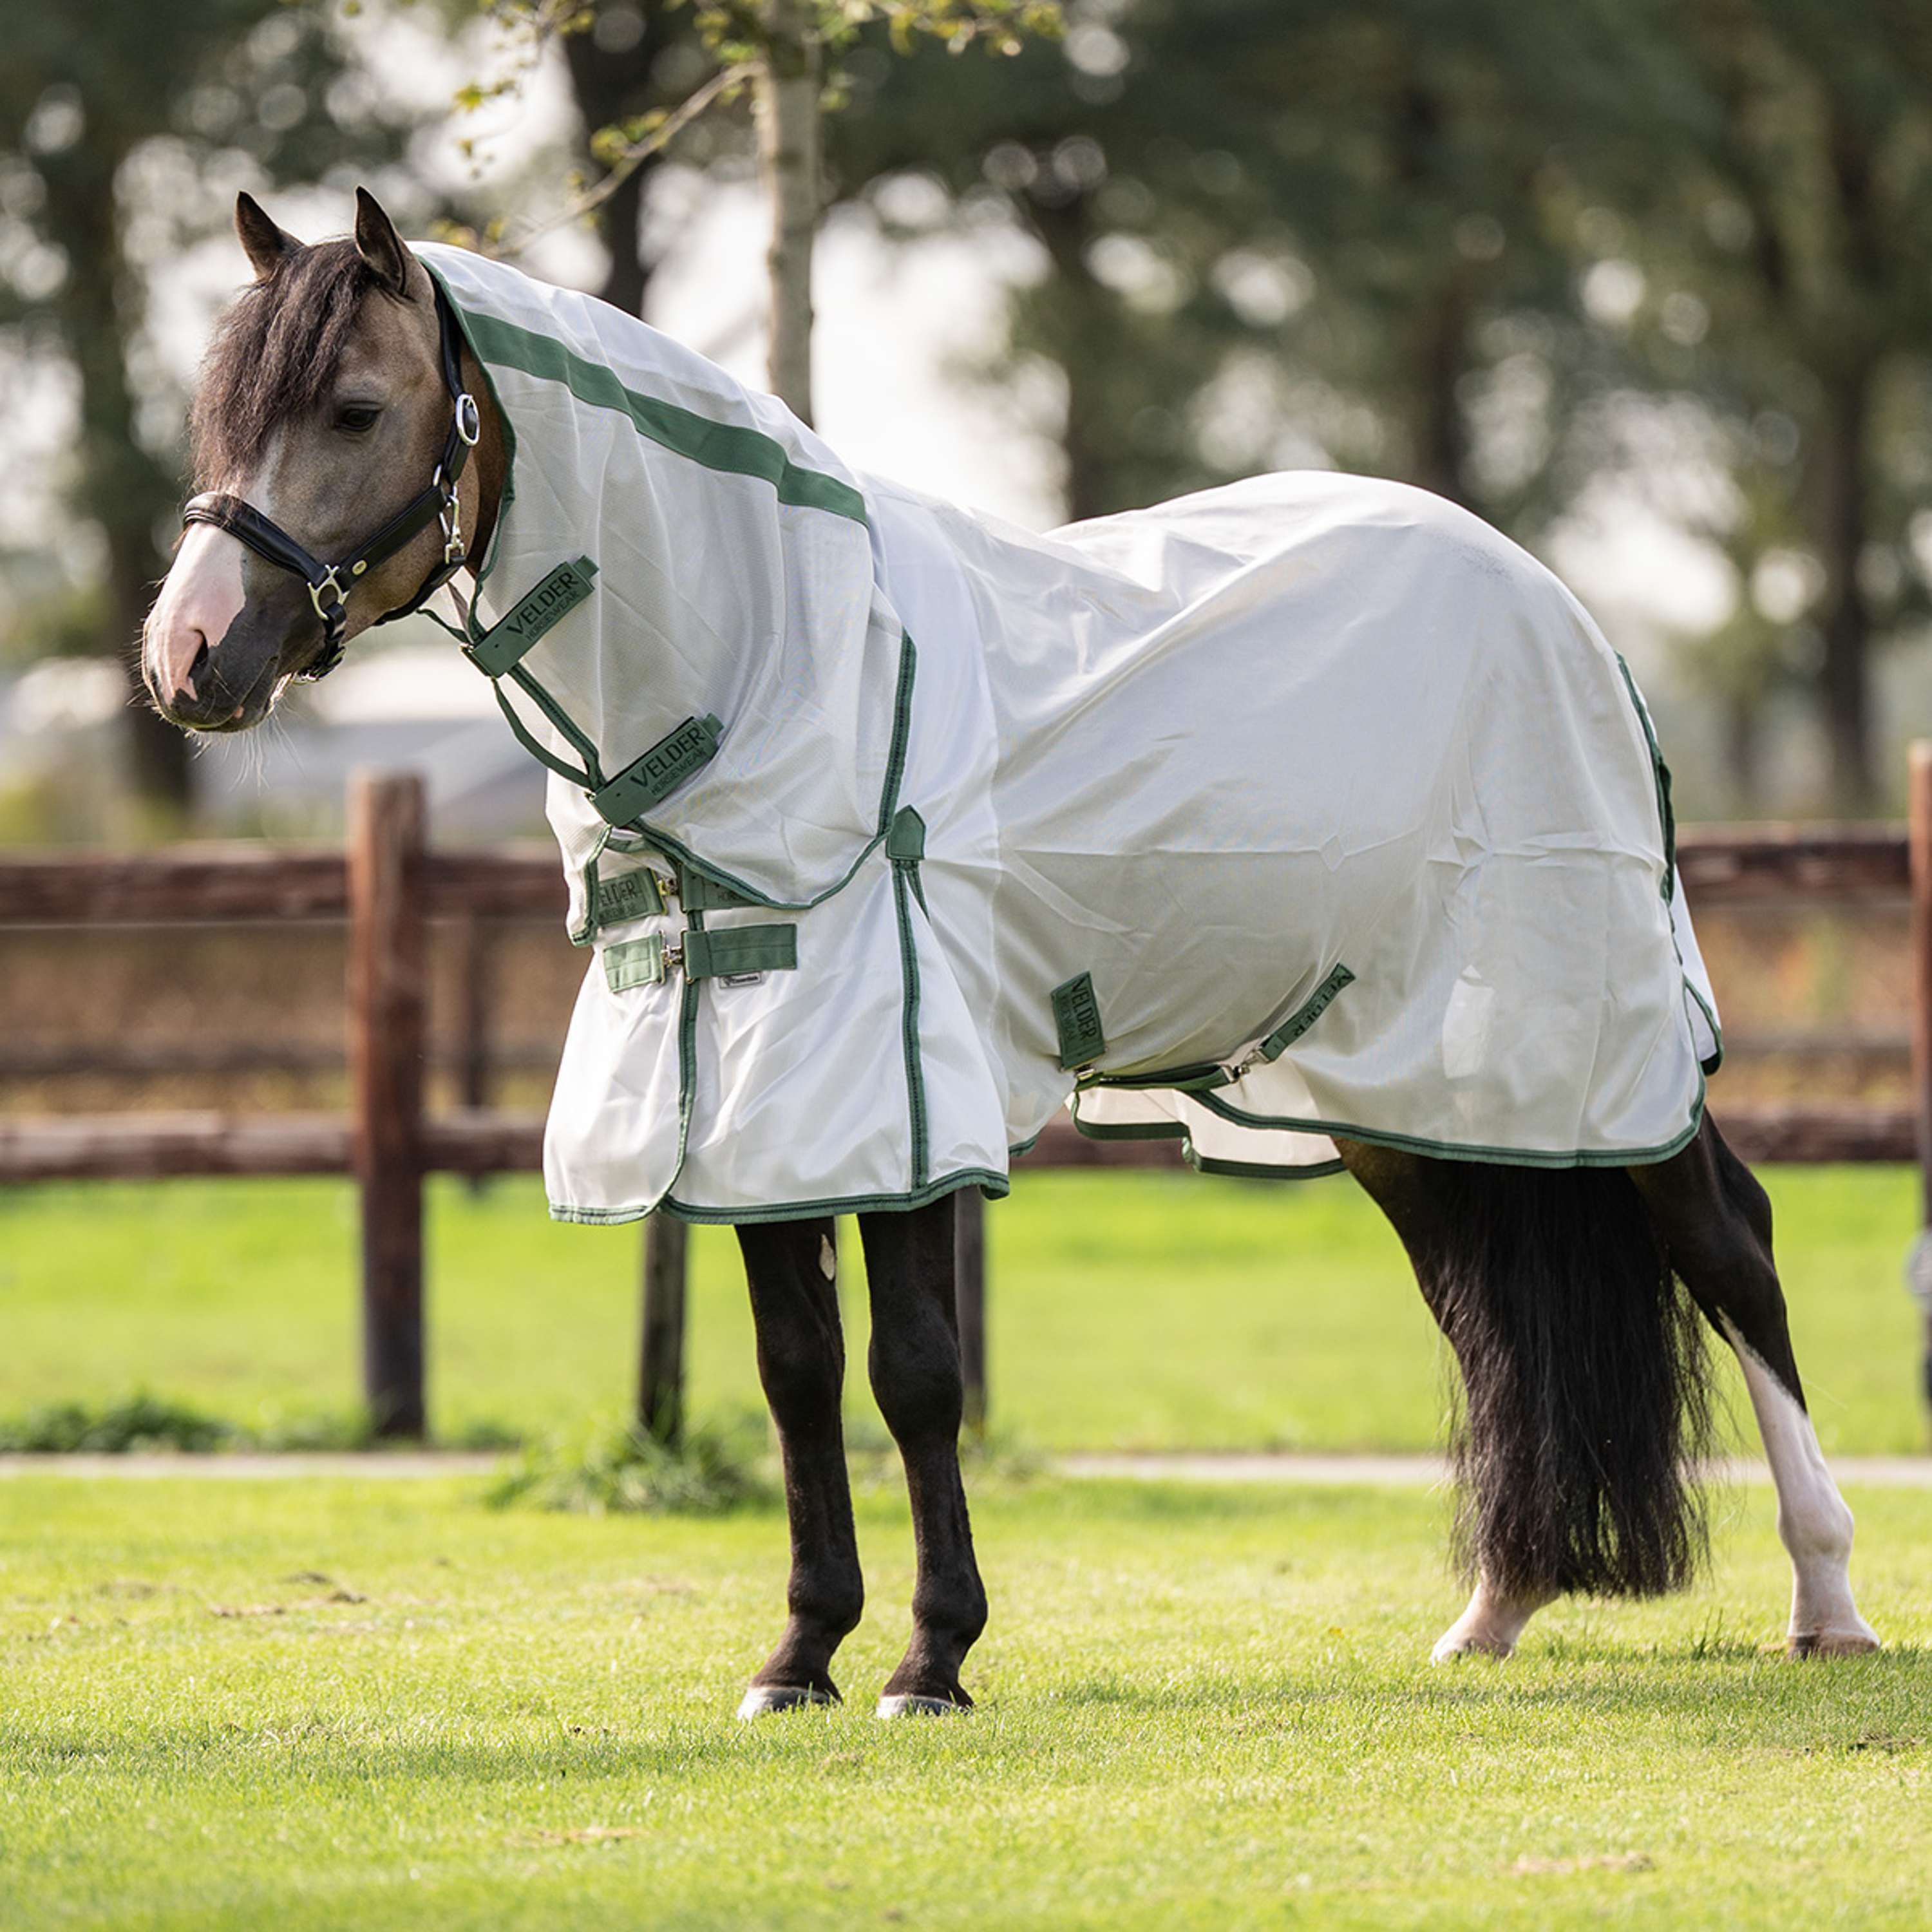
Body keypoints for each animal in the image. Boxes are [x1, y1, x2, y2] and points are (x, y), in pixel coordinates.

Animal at [143, 189, 1879, 1718]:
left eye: (358, 407)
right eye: (215, 418)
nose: (186, 659)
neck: (782, 653)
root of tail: (1556, 606)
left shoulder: (892, 1075)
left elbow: (915, 1371)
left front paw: (930, 1659)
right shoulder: (754, 1081)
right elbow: (794, 1370)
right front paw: (798, 1656)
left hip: (1595, 1036)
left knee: (1728, 1243)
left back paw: (1826, 1601)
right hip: (1408, 1088)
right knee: (1485, 1308)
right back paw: (1494, 1609)